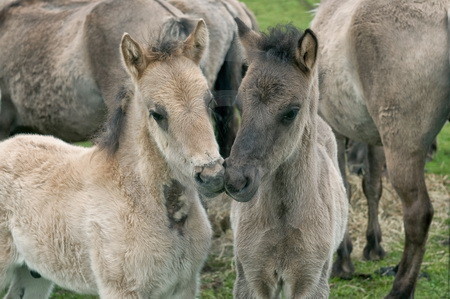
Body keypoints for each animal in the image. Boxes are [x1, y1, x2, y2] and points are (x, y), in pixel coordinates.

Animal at [0, 19, 225, 298]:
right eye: (157, 113)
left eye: (209, 102)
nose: (212, 175)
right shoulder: (120, 289)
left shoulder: (185, 286)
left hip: (34, 275)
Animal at [224, 19, 348, 298]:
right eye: (240, 103)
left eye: (291, 112)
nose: (236, 180)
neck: (282, 223)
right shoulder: (250, 277)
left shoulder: (311, 280)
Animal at [312, 0, 450, 296]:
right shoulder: (373, 138)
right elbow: (372, 186)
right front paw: (373, 246)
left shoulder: (335, 131)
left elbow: (344, 188)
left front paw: (343, 259)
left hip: (402, 143)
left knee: (418, 213)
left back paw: (400, 290)